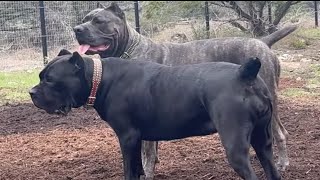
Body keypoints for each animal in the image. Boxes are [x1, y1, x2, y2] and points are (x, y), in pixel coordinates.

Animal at [29, 49, 280, 180]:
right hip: (263, 142)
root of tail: (244, 74)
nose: (31, 92)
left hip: (235, 146)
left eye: (49, 79)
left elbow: (129, 170)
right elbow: (139, 169)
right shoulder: (138, 139)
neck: (100, 78)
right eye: (40, 76)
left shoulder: (127, 137)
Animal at [73, 2, 298, 179]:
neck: (130, 48)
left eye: (99, 21)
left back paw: (282, 163)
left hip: (270, 100)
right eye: (84, 19)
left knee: (280, 133)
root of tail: (262, 42)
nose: (77, 29)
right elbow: (152, 150)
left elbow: (146, 156)